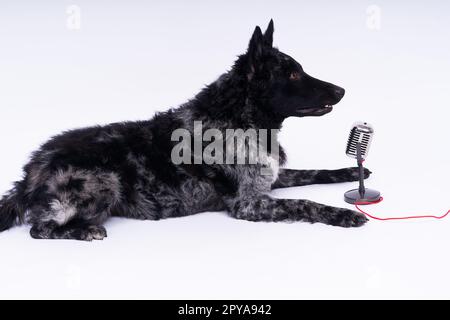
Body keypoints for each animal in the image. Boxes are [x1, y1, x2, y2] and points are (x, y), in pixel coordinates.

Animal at [0, 20, 370, 240]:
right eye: (292, 74)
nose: (341, 90)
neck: (238, 116)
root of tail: (30, 170)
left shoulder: (272, 178)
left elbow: (313, 172)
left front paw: (350, 171)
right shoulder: (249, 203)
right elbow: (304, 203)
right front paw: (341, 214)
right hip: (104, 184)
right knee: (40, 228)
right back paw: (84, 231)